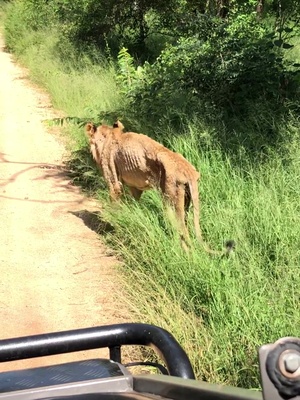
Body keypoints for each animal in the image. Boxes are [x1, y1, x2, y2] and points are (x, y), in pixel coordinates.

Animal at [84, 120, 234, 255]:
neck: (109, 136)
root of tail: (189, 172)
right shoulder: (135, 188)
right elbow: (133, 205)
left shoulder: (114, 183)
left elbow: (114, 209)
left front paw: (112, 228)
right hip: (186, 200)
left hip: (170, 199)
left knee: (181, 228)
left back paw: (184, 253)